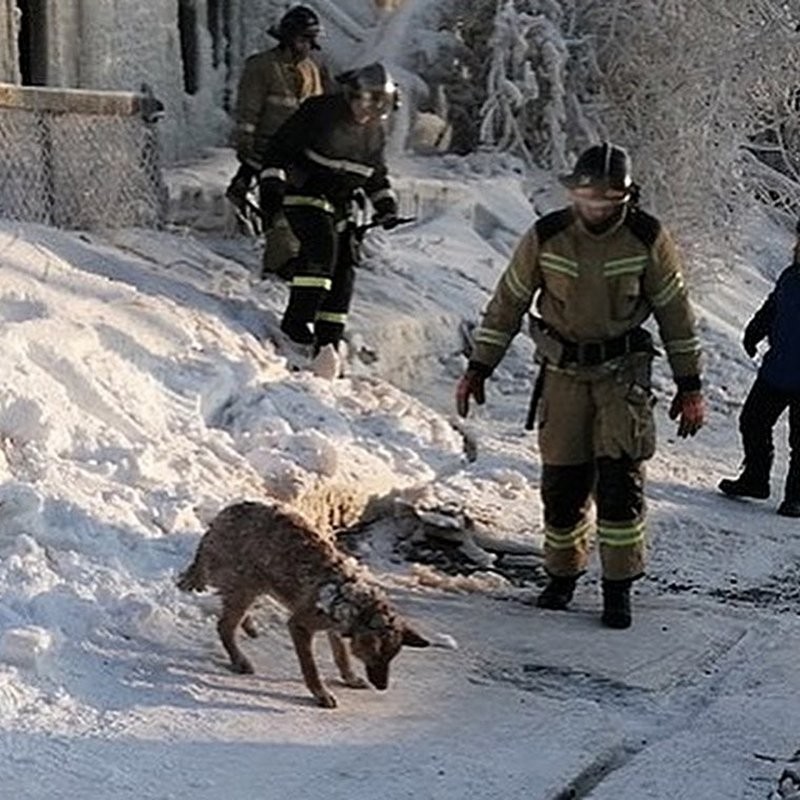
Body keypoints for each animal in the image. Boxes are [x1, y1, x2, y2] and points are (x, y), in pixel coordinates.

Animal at [177, 500, 432, 708]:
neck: (354, 603)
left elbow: (342, 657)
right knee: (223, 625)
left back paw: (248, 627)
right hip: (247, 585)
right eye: (375, 655)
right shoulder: (300, 626)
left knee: (229, 612)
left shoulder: (334, 629)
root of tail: (221, 517)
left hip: (251, 587)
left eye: (391, 657)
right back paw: (240, 660)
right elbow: (311, 668)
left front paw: (349, 678)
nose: (382, 687)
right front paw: (321, 694)